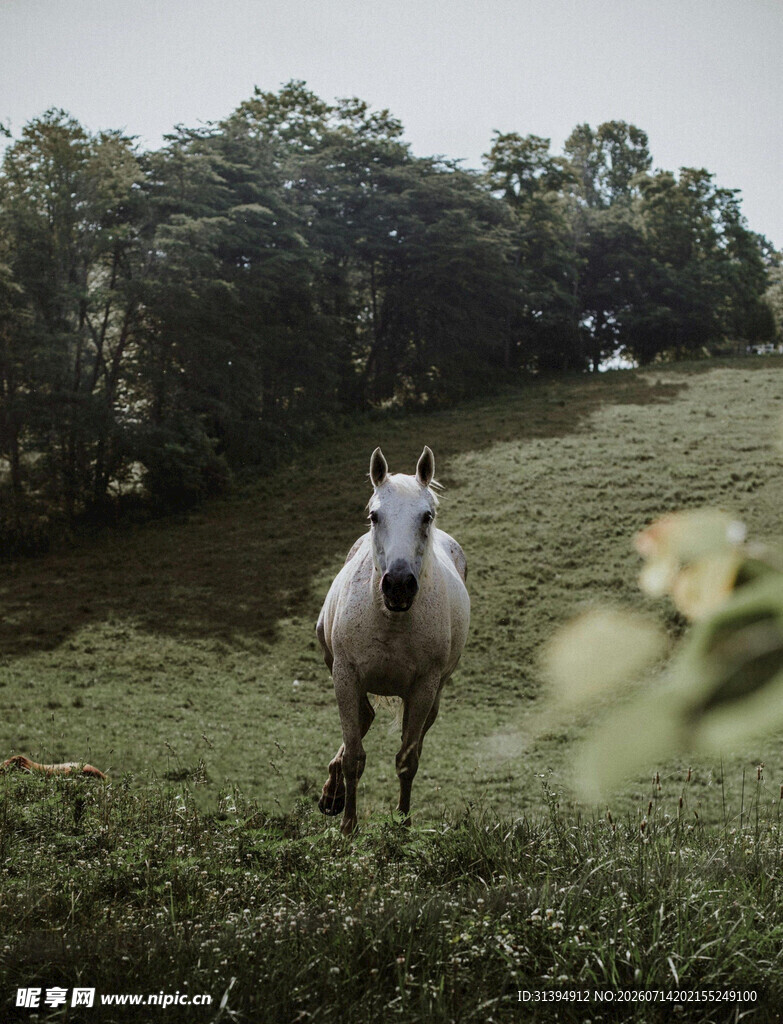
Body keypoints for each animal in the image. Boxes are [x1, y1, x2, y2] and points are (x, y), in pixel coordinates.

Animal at [316, 446, 470, 835]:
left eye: (426, 516)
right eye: (374, 515)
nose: (398, 585)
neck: (391, 621)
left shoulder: (423, 688)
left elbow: (407, 760)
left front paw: (402, 824)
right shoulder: (345, 674)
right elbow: (354, 756)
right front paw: (348, 826)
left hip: (434, 695)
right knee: (362, 720)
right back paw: (332, 795)